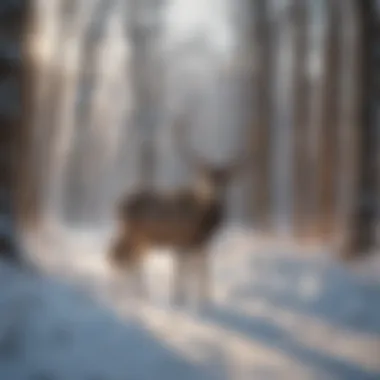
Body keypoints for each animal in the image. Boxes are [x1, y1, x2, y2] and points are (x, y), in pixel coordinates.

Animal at [108, 109, 248, 306]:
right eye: (204, 176)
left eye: (223, 179)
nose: (213, 190)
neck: (202, 221)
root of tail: (117, 204)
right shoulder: (181, 239)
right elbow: (183, 272)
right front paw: (180, 299)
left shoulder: (200, 244)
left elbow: (202, 270)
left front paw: (204, 299)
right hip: (132, 231)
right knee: (118, 255)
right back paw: (128, 295)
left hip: (140, 238)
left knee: (126, 258)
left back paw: (137, 295)